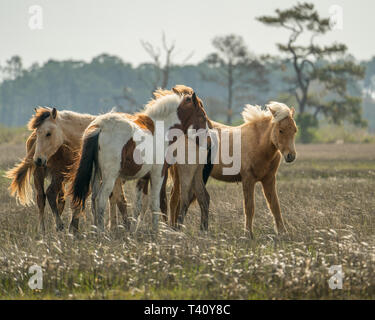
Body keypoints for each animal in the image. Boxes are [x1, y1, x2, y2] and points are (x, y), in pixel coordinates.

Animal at [170, 102, 296, 238]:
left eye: (295, 130)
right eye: (281, 130)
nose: (291, 156)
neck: (257, 143)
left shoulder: (269, 180)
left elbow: (275, 206)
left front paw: (283, 233)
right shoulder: (248, 180)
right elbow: (249, 207)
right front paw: (248, 234)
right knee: (175, 198)